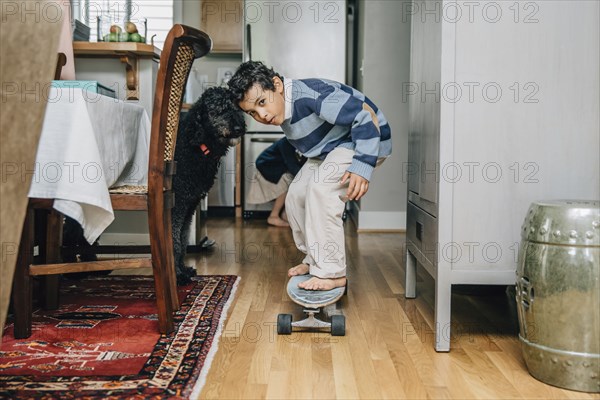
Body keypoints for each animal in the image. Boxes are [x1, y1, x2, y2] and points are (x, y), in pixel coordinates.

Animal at [172, 87, 245, 284]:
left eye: (236, 108)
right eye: (218, 109)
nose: (239, 128)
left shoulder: (189, 204)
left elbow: (182, 239)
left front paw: (183, 269)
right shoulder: (176, 205)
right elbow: (174, 240)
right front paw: (178, 275)